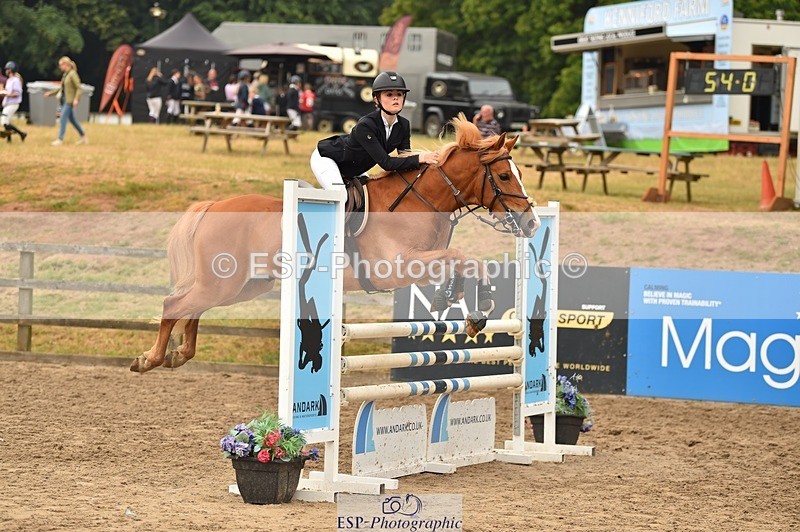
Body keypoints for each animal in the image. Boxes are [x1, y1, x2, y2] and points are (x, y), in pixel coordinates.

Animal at [130, 115, 539, 373]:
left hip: (242, 286)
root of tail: (213, 205)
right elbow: (460, 257)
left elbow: (467, 262)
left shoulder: (421, 263)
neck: (422, 201)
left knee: (194, 308)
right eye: (505, 176)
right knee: (174, 304)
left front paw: (462, 306)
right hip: (224, 283)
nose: (532, 223)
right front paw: (467, 306)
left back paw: (179, 354)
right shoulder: (398, 266)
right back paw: (150, 359)